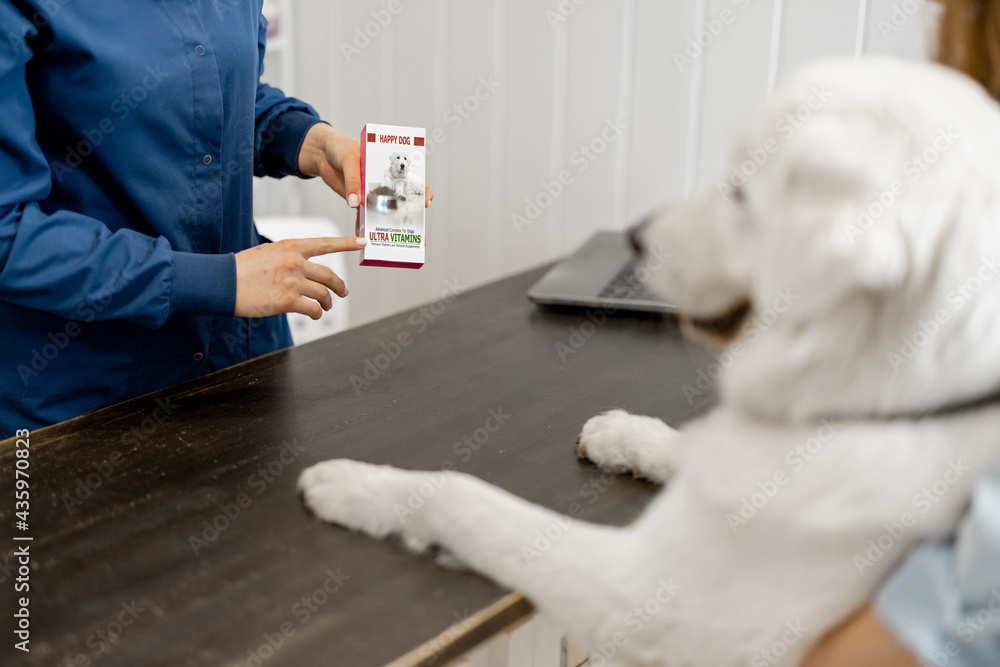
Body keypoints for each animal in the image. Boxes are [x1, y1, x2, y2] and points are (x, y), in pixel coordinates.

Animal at [300, 58, 1000, 667]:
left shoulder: (652, 599)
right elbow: (681, 445)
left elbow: (459, 495)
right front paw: (622, 434)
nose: (636, 238)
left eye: (741, 190)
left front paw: (357, 485)